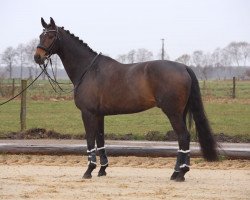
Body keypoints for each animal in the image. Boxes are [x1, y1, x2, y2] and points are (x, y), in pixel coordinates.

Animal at [34, 18, 218, 182]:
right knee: (182, 139)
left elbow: (90, 140)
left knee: (183, 137)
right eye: (40, 35)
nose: (37, 57)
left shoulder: (88, 113)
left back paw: (181, 174)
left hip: (172, 112)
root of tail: (184, 67)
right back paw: (176, 172)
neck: (88, 70)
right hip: (181, 112)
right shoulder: (99, 115)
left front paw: (89, 170)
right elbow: (100, 139)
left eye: (51, 36)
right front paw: (102, 169)